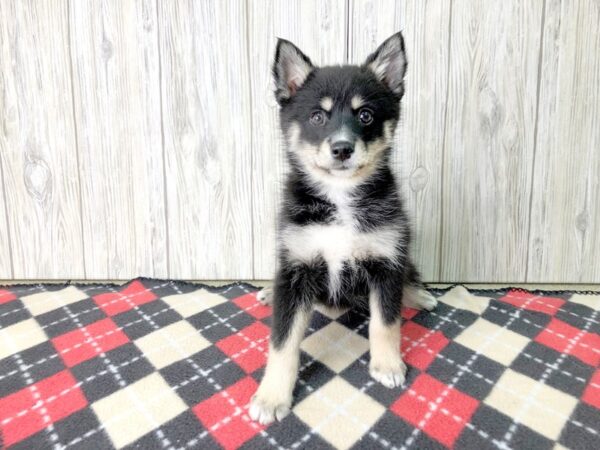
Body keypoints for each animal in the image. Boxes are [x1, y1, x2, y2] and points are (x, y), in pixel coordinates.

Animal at [248, 32, 436, 426]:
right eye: (318, 116)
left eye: (365, 114)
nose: (342, 148)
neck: (340, 198)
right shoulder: (297, 265)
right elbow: (282, 340)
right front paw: (272, 397)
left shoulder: (386, 260)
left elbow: (386, 321)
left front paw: (388, 365)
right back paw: (268, 292)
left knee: (406, 280)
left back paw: (418, 295)